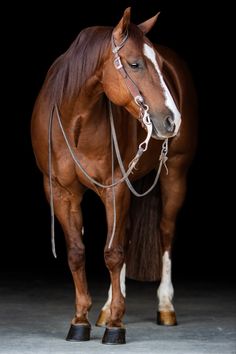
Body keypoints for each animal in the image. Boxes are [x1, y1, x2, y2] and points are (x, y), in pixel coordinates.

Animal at [30, 6, 197, 346]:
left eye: (160, 66)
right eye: (134, 64)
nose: (173, 120)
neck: (75, 117)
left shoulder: (113, 189)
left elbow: (113, 253)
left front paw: (116, 326)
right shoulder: (61, 191)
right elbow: (77, 253)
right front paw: (81, 320)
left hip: (175, 176)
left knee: (165, 233)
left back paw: (165, 306)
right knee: (128, 233)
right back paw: (107, 307)